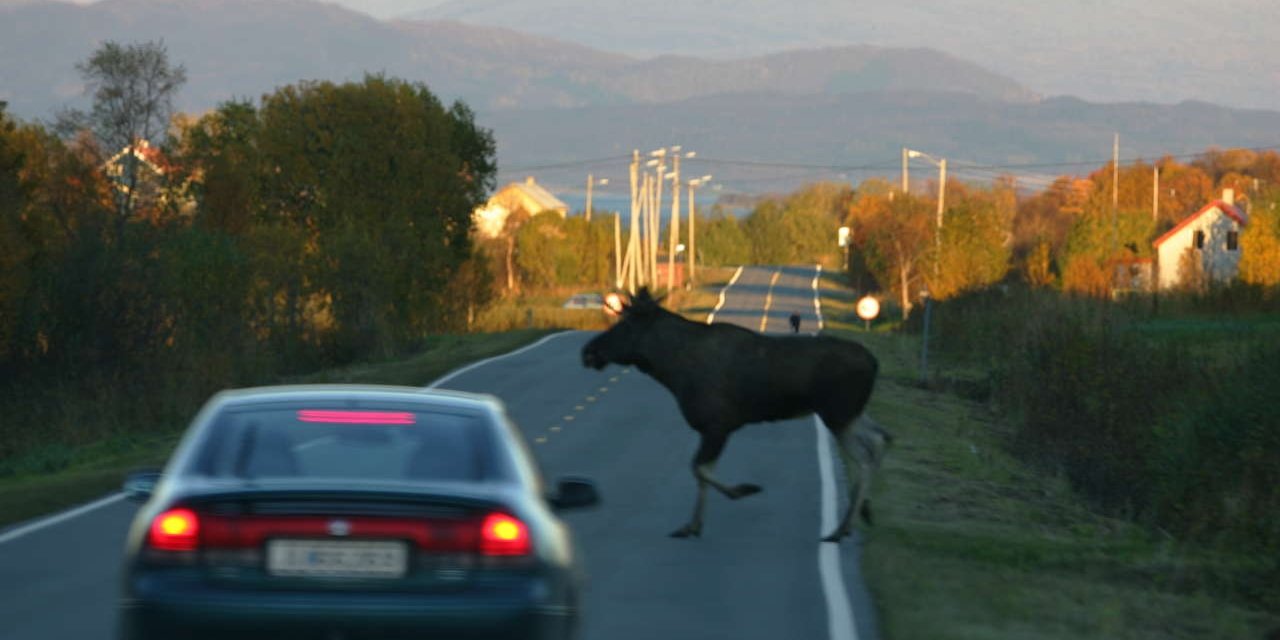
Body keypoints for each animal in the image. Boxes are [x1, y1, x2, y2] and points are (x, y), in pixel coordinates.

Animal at [581, 288, 890, 542]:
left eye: (625, 324)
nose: (588, 351)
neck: (673, 370)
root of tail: (875, 363)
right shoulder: (711, 429)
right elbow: (702, 472)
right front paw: (692, 525)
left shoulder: (718, 425)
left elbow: (700, 469)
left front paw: (743, 490)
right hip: (850, 414)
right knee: (880, 438)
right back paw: (859, 516)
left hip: (837, 414)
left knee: (865, 456)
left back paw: (841, 528)